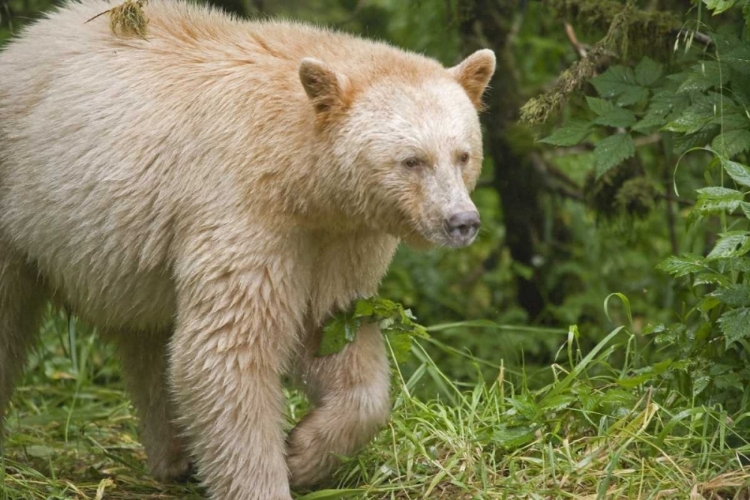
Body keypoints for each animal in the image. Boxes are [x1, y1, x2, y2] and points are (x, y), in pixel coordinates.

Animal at [0, 1, 496, 498]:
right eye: (412, 160)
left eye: (463, 154)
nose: (461, 222)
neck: (296, 172)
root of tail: (23, 40)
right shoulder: (246, 209)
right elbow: (227, 349)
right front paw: (270, 476)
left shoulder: (340, 240)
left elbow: (335, 328)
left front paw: (303, 452)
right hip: (19, 211)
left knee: (148, 339)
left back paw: (175, 456)